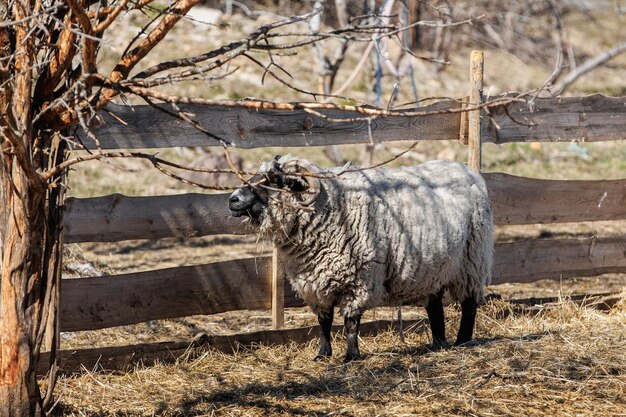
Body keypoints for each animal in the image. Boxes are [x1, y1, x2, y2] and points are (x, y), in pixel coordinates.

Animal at [229, 155, 492, 360]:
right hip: (433, 267)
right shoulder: (316, 283)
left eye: (276, 181)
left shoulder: (359, 280)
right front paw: (322, 354)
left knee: (469, 304)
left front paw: (351, 356)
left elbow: (350, 322)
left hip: (472, 260)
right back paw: (437, 343)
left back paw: (463, 341)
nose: (233, 199)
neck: (330, 208)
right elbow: (324, 322)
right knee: (435, 306)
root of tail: (467, 169)